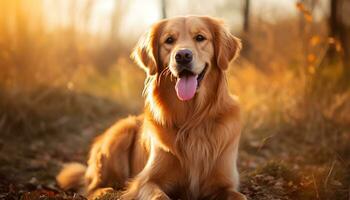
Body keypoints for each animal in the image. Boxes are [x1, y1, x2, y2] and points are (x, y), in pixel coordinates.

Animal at [56, 16, 246, 200]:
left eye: (200, 37)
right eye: (169, 40)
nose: (183, 55)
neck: (191, 119)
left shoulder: (226, 183)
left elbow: (239, 196)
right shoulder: (145, 181)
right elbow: (158, 195)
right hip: (121, 132)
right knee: (91, 188)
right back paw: (106, 192)